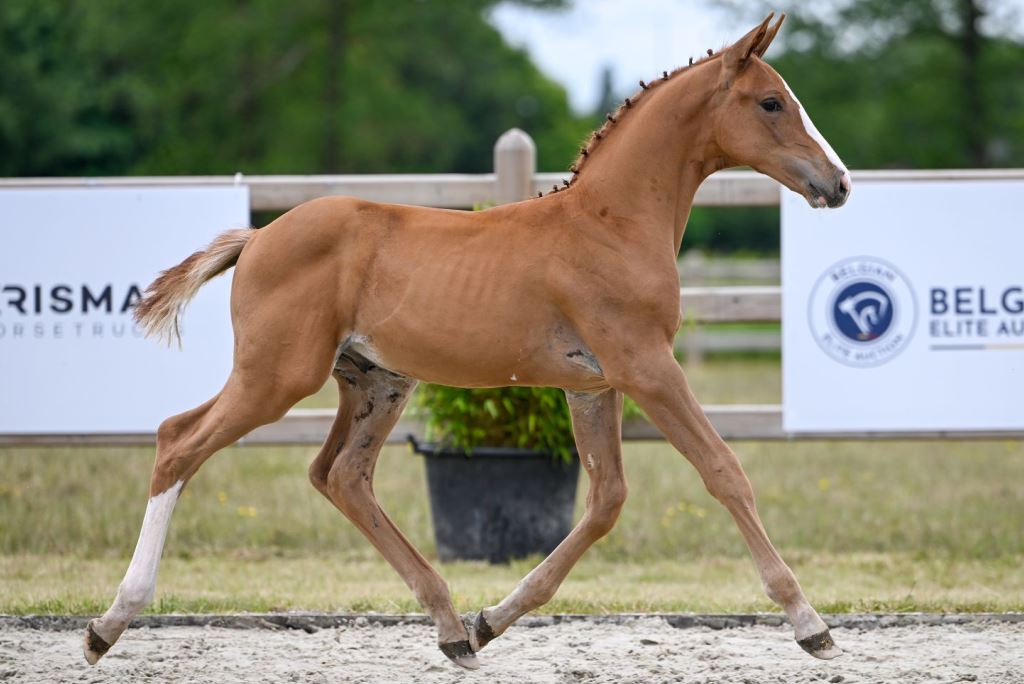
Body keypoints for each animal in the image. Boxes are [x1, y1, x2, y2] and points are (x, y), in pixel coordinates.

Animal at [86, 13, 847, 671]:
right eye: (771, 102)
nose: (837, 182)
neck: (609, 223)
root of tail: (260, 236)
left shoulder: (592, 385)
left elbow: (605, 502)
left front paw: (492, 620)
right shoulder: (647, 368)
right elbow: (724, 472)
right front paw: (810, 624)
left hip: (376, 381)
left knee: (341, 476)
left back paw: (453, 628)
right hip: (277, 377)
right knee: (180, 441)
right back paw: (107, 625)